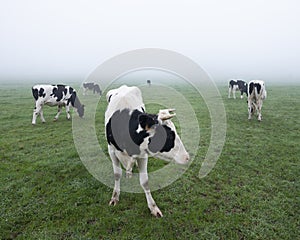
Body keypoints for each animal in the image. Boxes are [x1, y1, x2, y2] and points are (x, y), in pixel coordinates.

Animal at [105, 85, 190, 218]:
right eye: (169, 136)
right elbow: (117, 174)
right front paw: (115, 197)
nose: (187, 157)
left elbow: (144, 182)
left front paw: (153, 207)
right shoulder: (112, 151)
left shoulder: (142, 154)